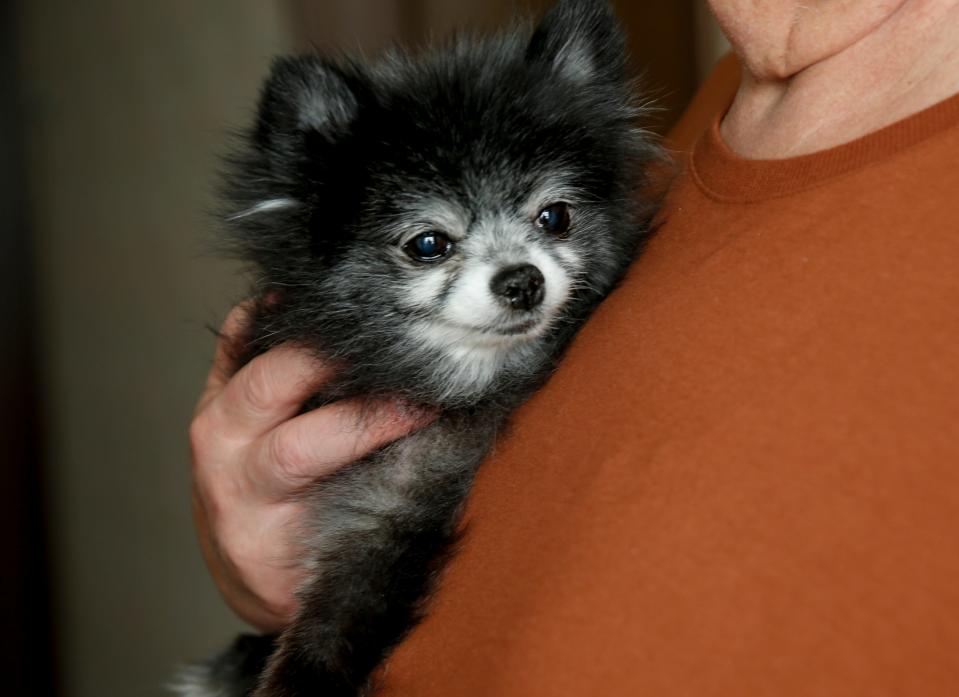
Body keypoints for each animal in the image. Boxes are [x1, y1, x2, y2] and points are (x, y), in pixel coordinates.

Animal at [176, 1, 660, 696]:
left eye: (555, 216)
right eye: (428, 244)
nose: (523, 280)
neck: (458, 378)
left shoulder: (391, 512)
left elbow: (332, 622)